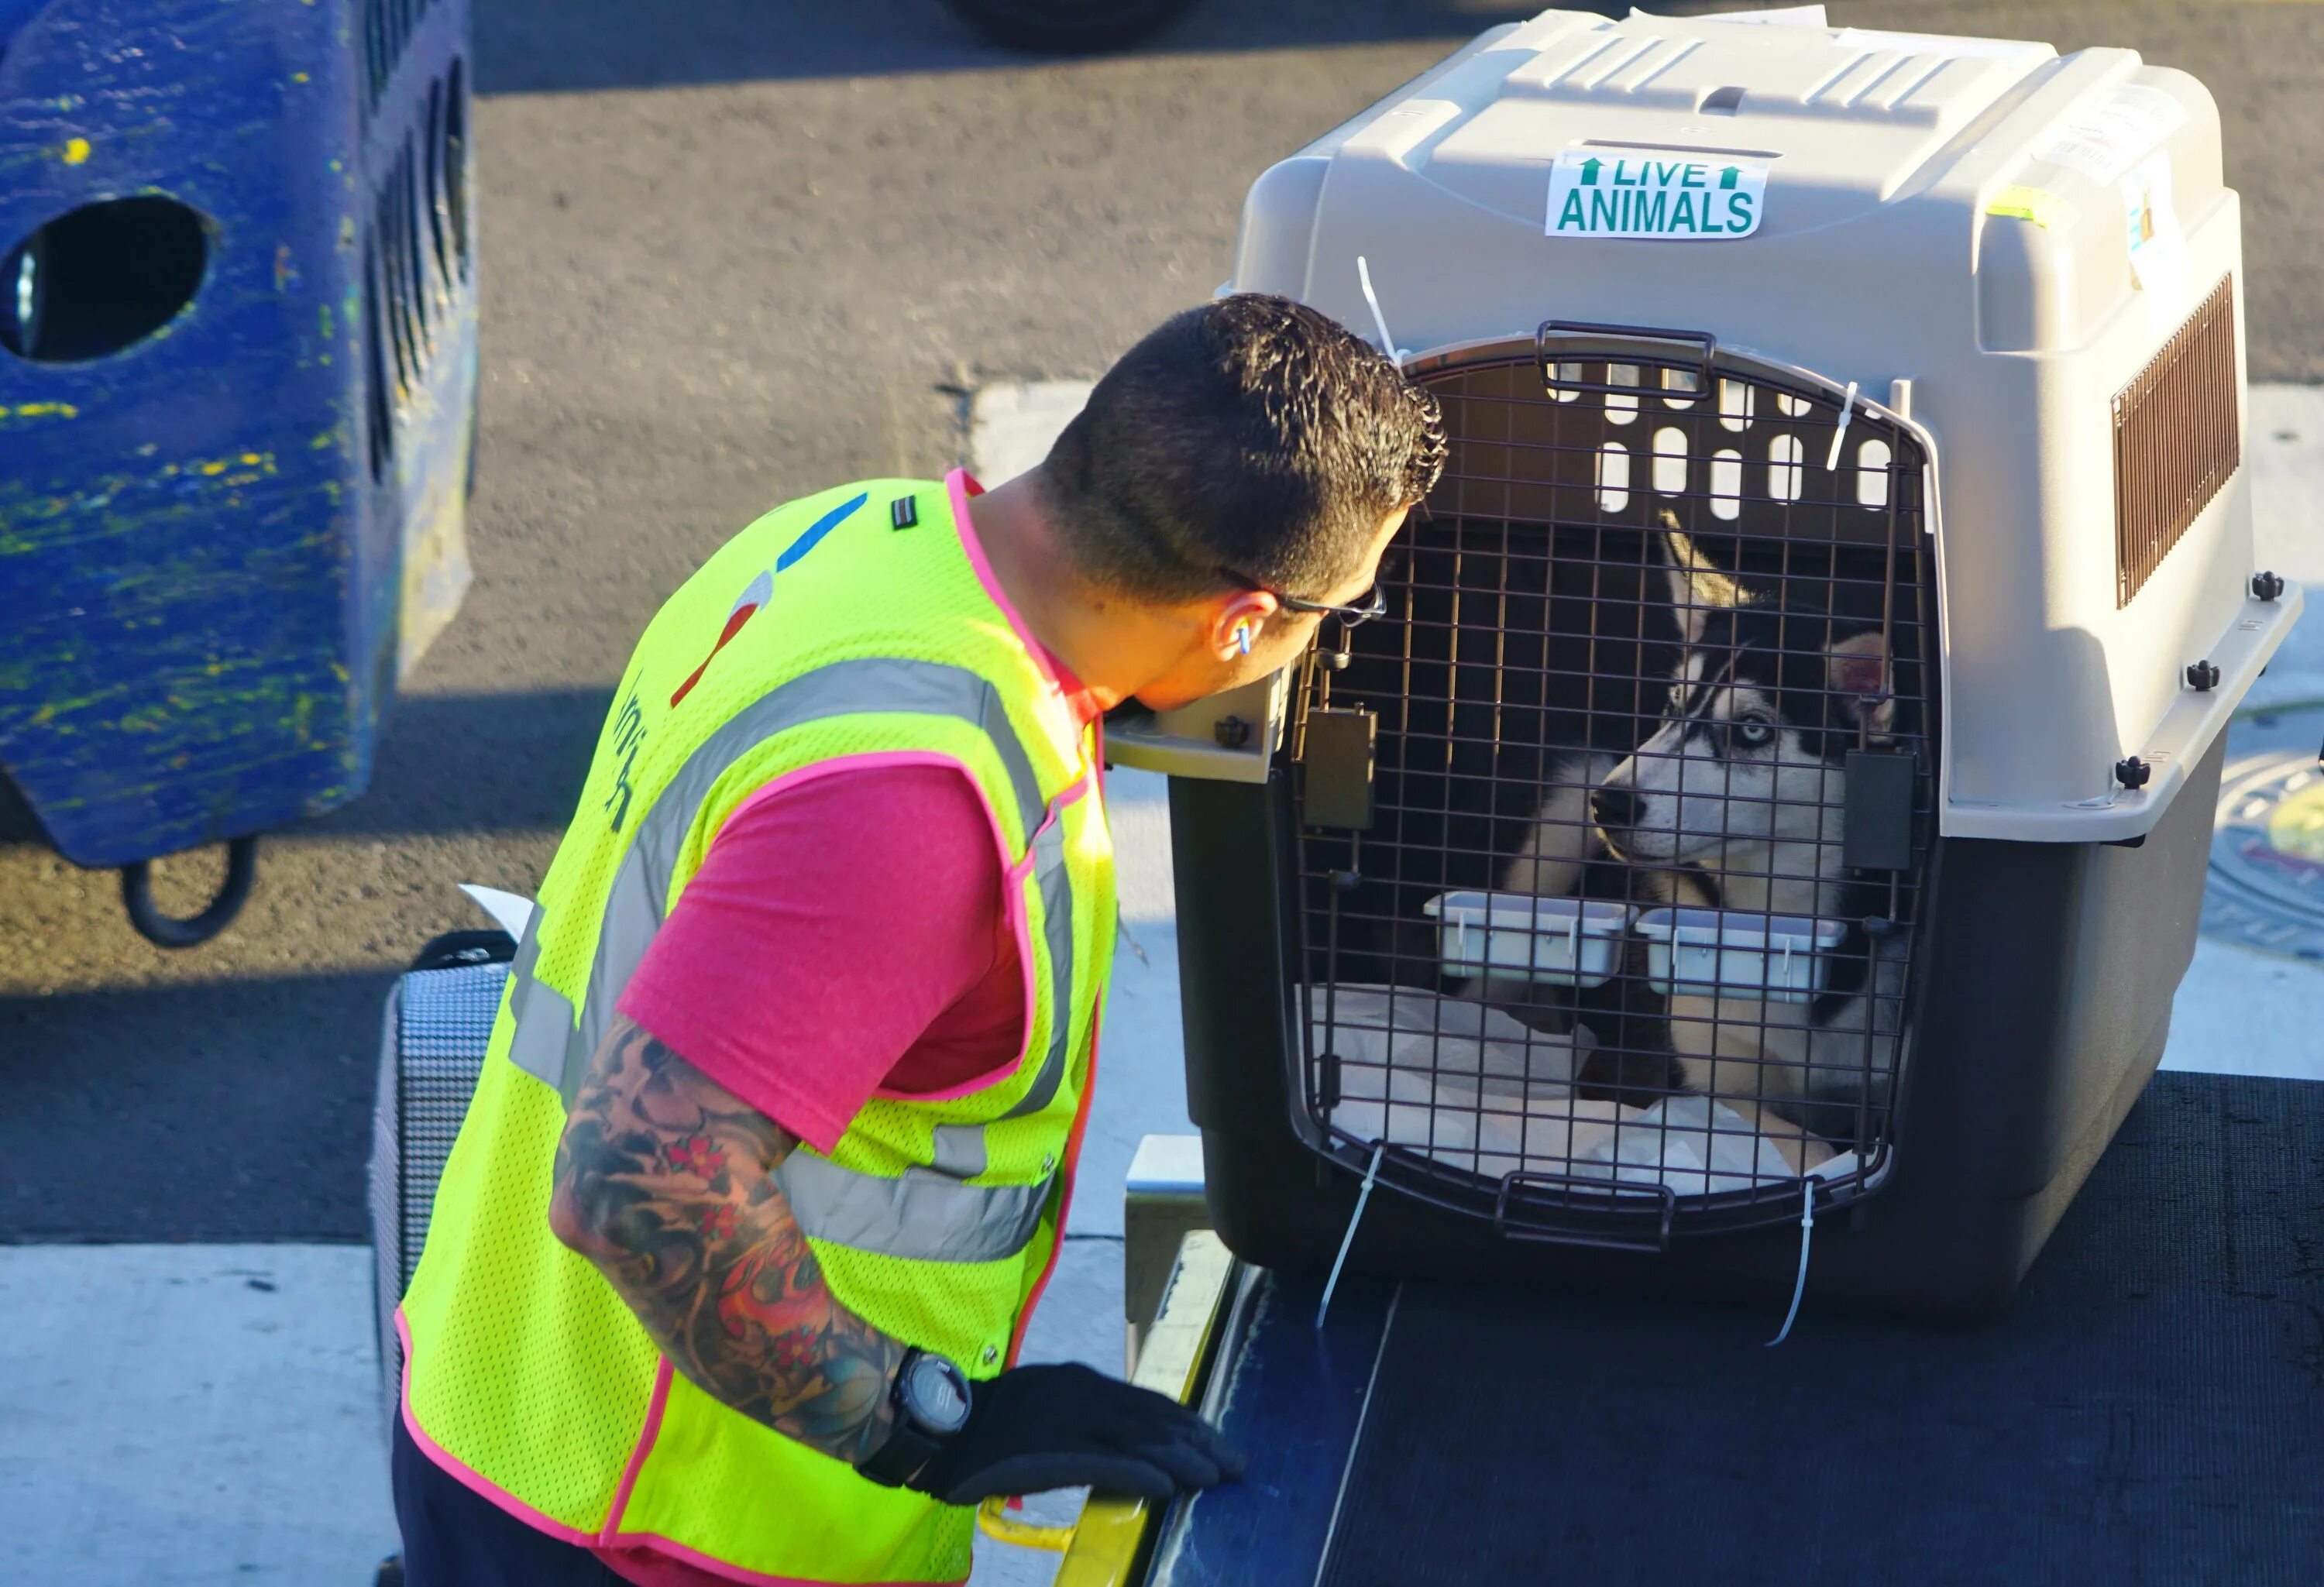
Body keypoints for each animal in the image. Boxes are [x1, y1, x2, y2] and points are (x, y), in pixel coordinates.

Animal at [1590, 527, 1915, 1148]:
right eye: (1673, 705)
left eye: (1752, 730)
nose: (1607, 803)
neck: (1776, 919)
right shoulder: (1705, 1079)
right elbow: (1796, 1141)